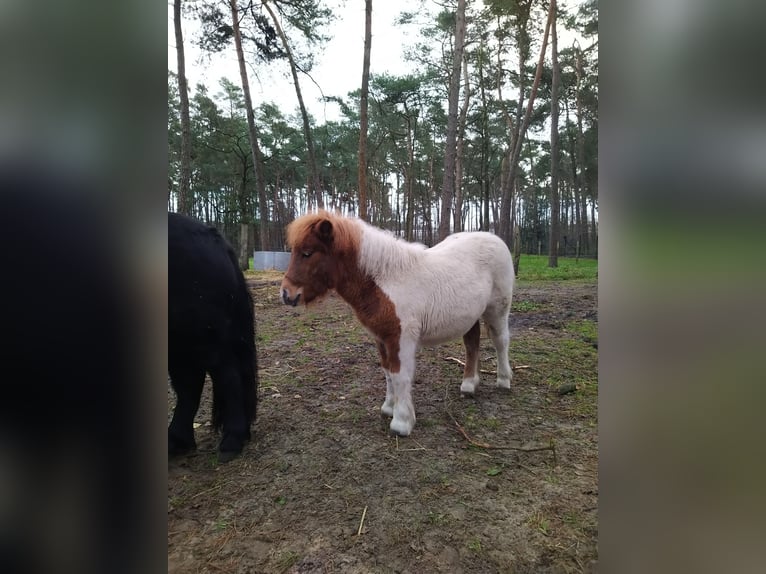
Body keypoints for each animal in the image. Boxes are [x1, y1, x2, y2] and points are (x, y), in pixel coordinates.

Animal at [278, 212, 516, 436]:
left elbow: (400, 375)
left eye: (308, 253)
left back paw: (504, 380)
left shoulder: (401, 338)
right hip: (471, 315)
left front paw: (402, 422)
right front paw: (388, 408)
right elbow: (388, 373)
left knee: (501, 341)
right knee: (472, 343)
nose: (287, 294)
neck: (386, 281)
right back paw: (469, 385)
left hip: (497, 310)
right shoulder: (381, 338)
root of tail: (495, 238)